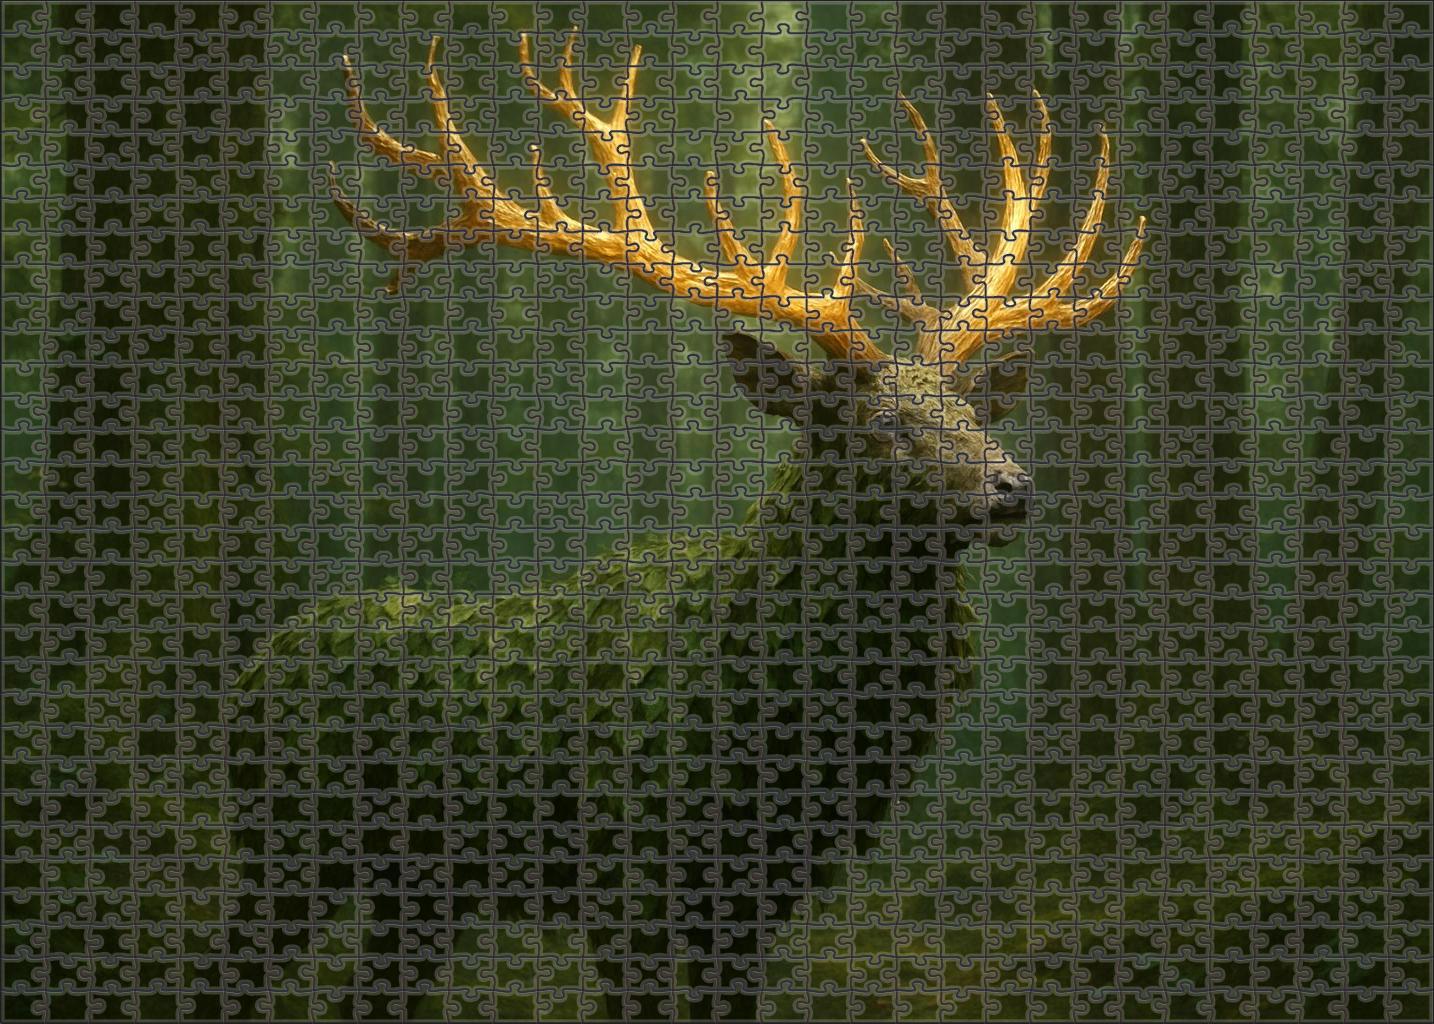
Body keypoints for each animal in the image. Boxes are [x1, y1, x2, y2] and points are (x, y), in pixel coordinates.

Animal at [227, 30, 1144, 1023]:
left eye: (976, 414)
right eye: (883, 425)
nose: (1013, 487)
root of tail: (259, 663)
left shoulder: (760, 899)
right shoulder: (621, 871)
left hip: (418, 892)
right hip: (280, 848)